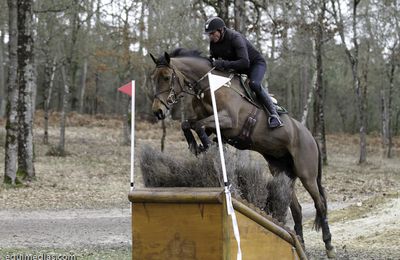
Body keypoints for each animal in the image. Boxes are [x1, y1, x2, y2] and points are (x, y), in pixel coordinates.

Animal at [148, 47, 336, 258]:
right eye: (153, 77)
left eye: (166, 77)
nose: (158, 111)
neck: (210, 87)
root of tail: (310, 136)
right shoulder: (210, 121)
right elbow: (188, 124)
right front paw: (198, 146)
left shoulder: (229, 121)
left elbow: (198, 125)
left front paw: (207, 146)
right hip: (281, 170)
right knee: (296, 207)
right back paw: (300, 244)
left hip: (306, 173)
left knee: (320, 204)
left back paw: (329, 245)